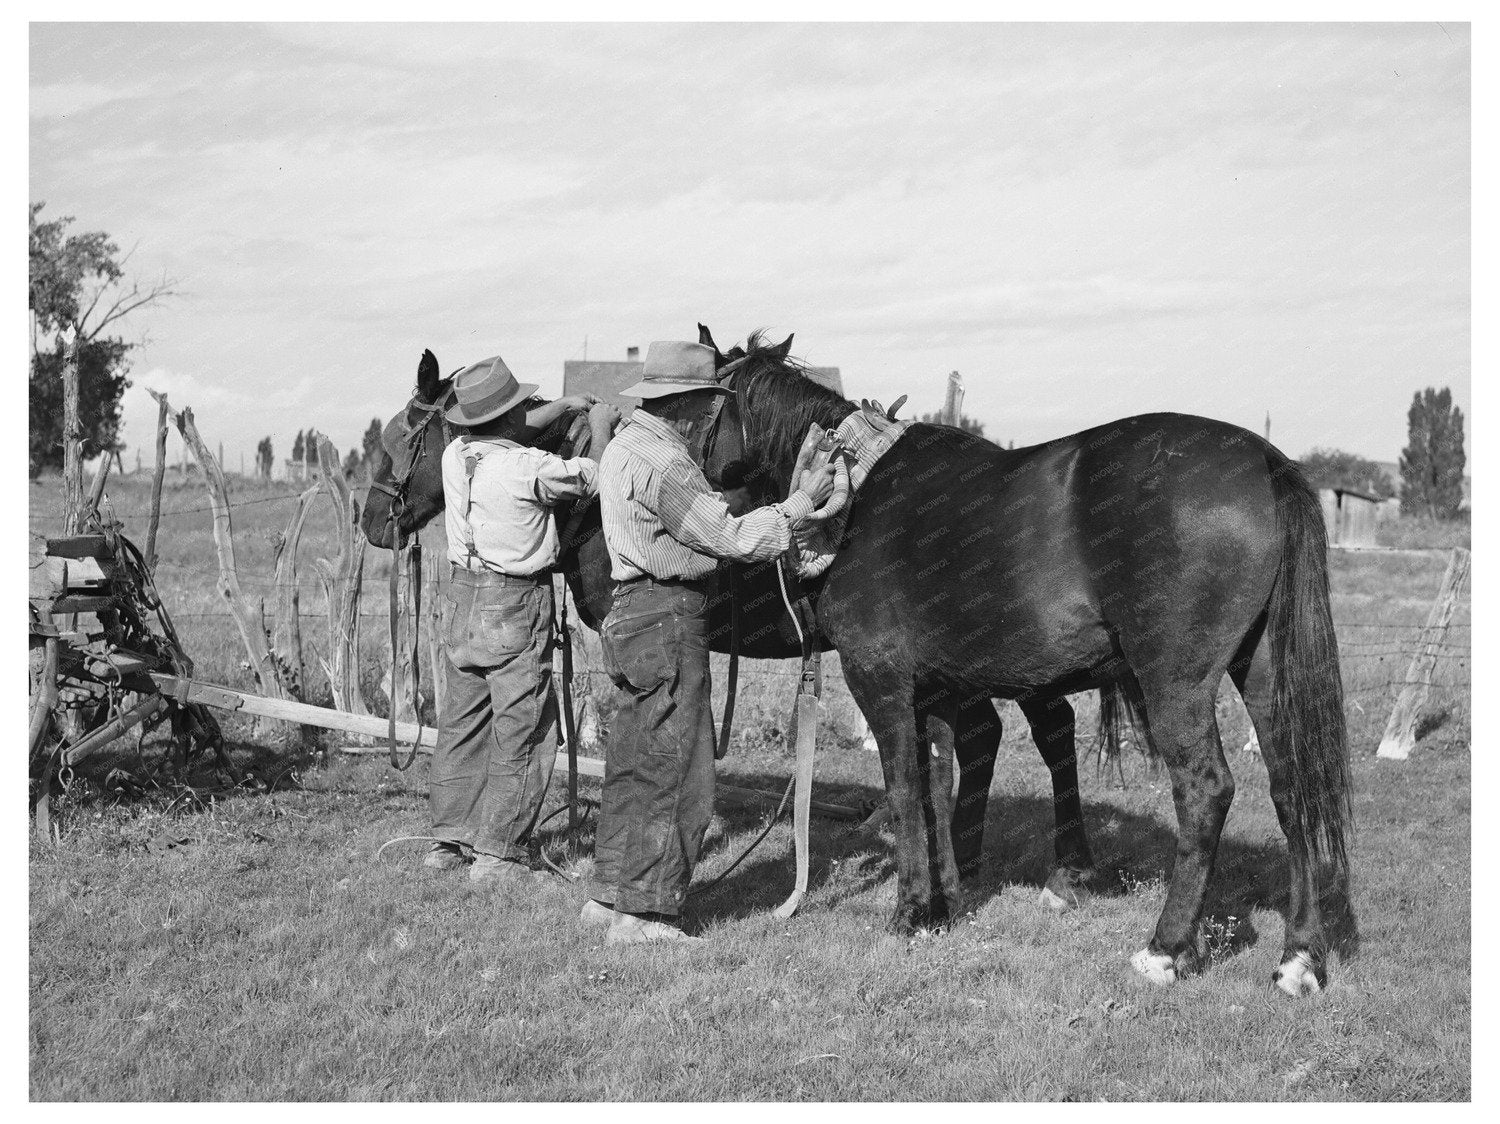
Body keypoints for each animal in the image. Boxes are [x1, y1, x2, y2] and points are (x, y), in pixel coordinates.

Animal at [698, 333, 1354, 997]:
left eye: (703, 401)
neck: (855, 489)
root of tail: (1265, 462)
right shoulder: (937, 689)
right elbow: (938, 783)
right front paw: (943, 904)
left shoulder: (879, 680)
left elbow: (905, 786)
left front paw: (910, 911)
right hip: (1264, 671)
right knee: (1292, 787)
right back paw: (1300, 957)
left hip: (1175, 684)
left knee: (1205, 791)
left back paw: (1164, 949)